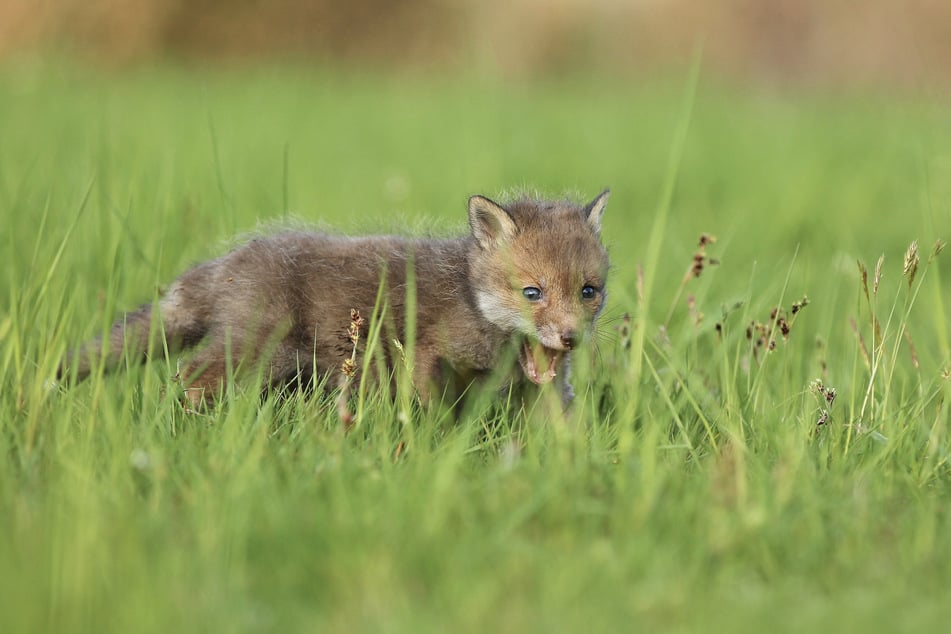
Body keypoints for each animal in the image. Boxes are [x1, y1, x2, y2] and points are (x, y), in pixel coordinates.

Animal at [57, 188, 608, 408]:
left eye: (589, 291)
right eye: (533, 293)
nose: (570, 339)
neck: (472, 300)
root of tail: (224, 263)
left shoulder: (544, 389)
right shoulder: (425, 355)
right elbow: (429, 415)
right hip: (253, 352)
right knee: (188, 379)